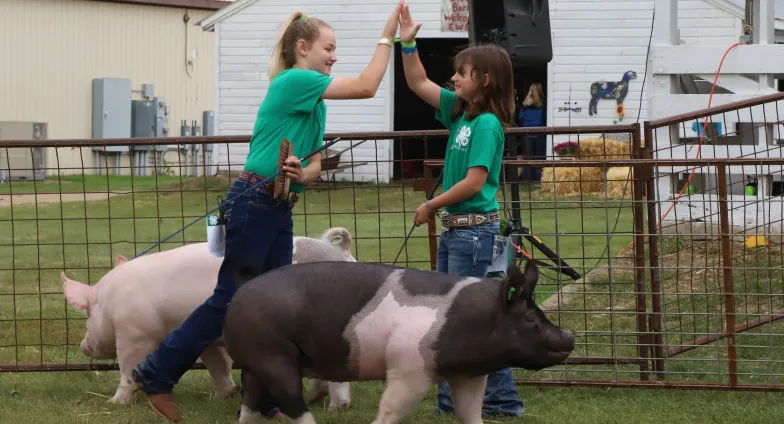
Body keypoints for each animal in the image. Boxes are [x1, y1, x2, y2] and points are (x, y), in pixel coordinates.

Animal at [62, 229, 356, 410]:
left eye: (87, 312)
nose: (83, 345)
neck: (111, 300)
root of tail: (337, 252)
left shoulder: (134, 334)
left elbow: (127, 369)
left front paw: (114, 403)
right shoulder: (208, 342)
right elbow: (218, 366)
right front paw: (219, 398)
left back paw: (336, 408)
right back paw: (315, 398)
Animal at [224, 260, 572, 422]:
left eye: (539, 313)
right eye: (529, 320)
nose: (568, 336)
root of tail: (239, 294)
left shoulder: (469, 377)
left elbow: (470, 413)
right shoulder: (409, 369)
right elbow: (391, 409)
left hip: (257, 362)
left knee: (250, 400)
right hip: (273, 354)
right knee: (291, 400)